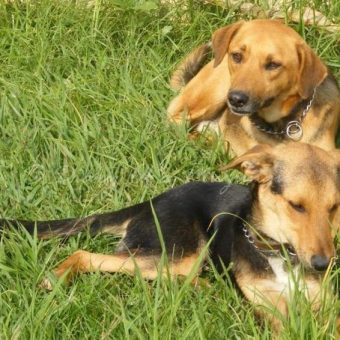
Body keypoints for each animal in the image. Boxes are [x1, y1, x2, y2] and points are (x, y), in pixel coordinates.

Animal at [0, 141, 340, 332]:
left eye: (334, 207)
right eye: (296, 206)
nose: (323, 264)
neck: (280, 253)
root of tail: (153, 201)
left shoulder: (325, 304)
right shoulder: (273, 312)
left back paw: (207, 289)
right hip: (176, 252)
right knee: (87, 255)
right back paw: (57, 276)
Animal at [168, 19, 340, 155]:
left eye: (273, 64)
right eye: (237, 56)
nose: (236, 99)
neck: (281, 124)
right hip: (214, 94)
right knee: (176, 120)